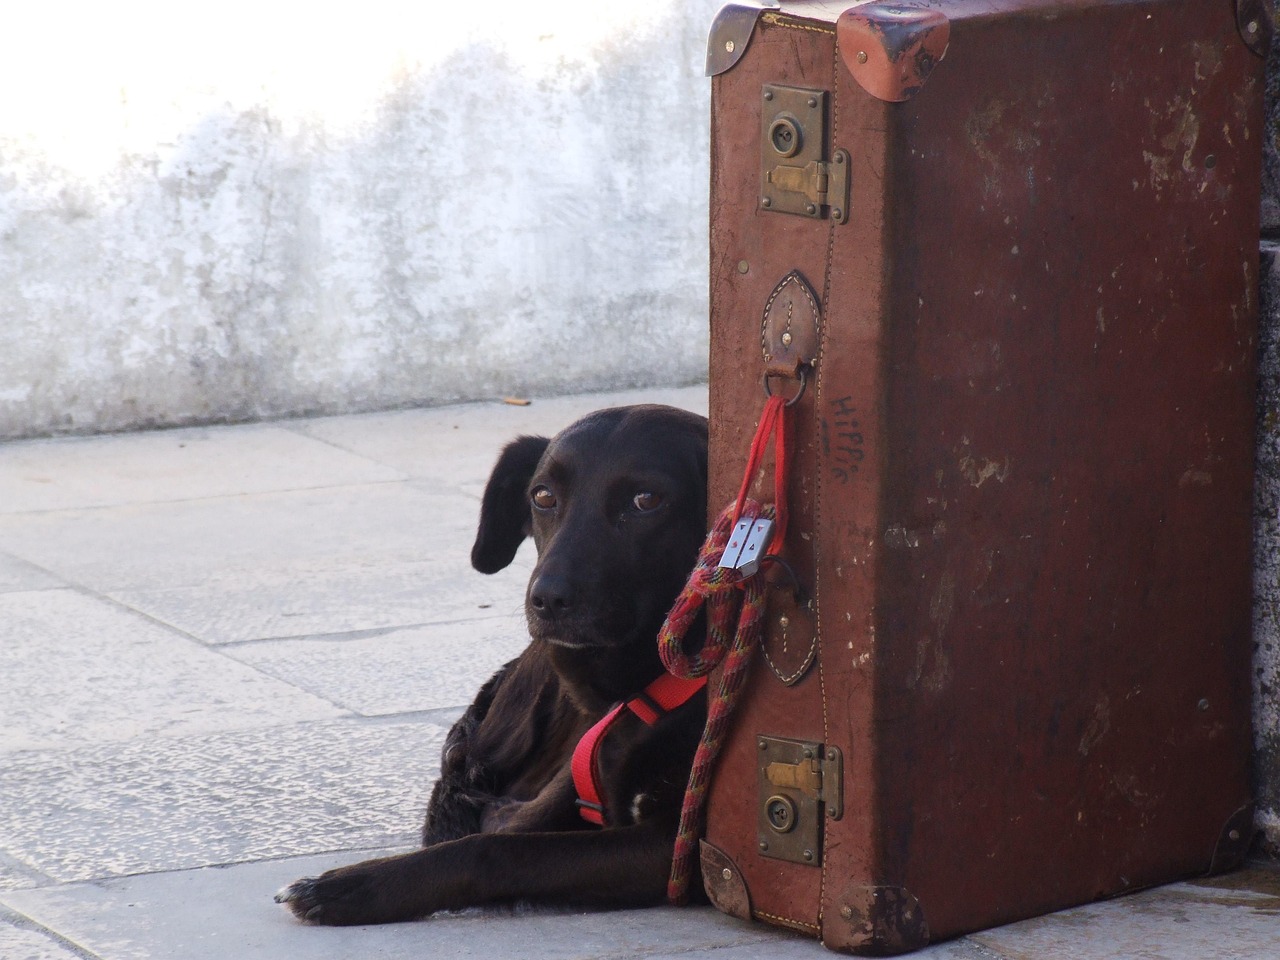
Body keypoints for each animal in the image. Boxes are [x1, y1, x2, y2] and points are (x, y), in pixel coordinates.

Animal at [277, 404, 711, 926]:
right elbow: (497, 831)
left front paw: (357, 886)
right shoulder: (577, 787)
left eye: (646, 500)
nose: (546, 599)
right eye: (543, 496)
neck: (649, 687)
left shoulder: (677, 849)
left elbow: (492, 848)